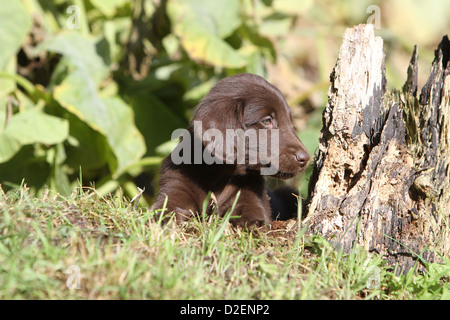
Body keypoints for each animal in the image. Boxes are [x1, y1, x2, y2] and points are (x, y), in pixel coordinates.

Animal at [152, 73, 310, 228]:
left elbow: (252, 209)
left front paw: (255, 223)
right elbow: (166, 206)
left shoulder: (250, 191)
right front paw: (167, 218)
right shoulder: (176, 183)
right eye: (267, 121)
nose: (306, 158)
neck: (218, 175)